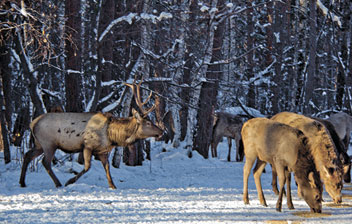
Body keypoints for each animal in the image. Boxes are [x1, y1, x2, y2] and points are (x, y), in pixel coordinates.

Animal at [19, 80, 162, 189]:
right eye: (148, 122)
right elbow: (87, 167)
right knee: (45, 162)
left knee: (27, 155)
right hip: (49, 144)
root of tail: (32, 123)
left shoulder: (102, 151)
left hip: (39, 144)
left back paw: (22, 182)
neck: (112, 136)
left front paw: (113, 186)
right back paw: (58, 183)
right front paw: (69, 181)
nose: (162, 131)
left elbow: (107, 169)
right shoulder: (88, 146)